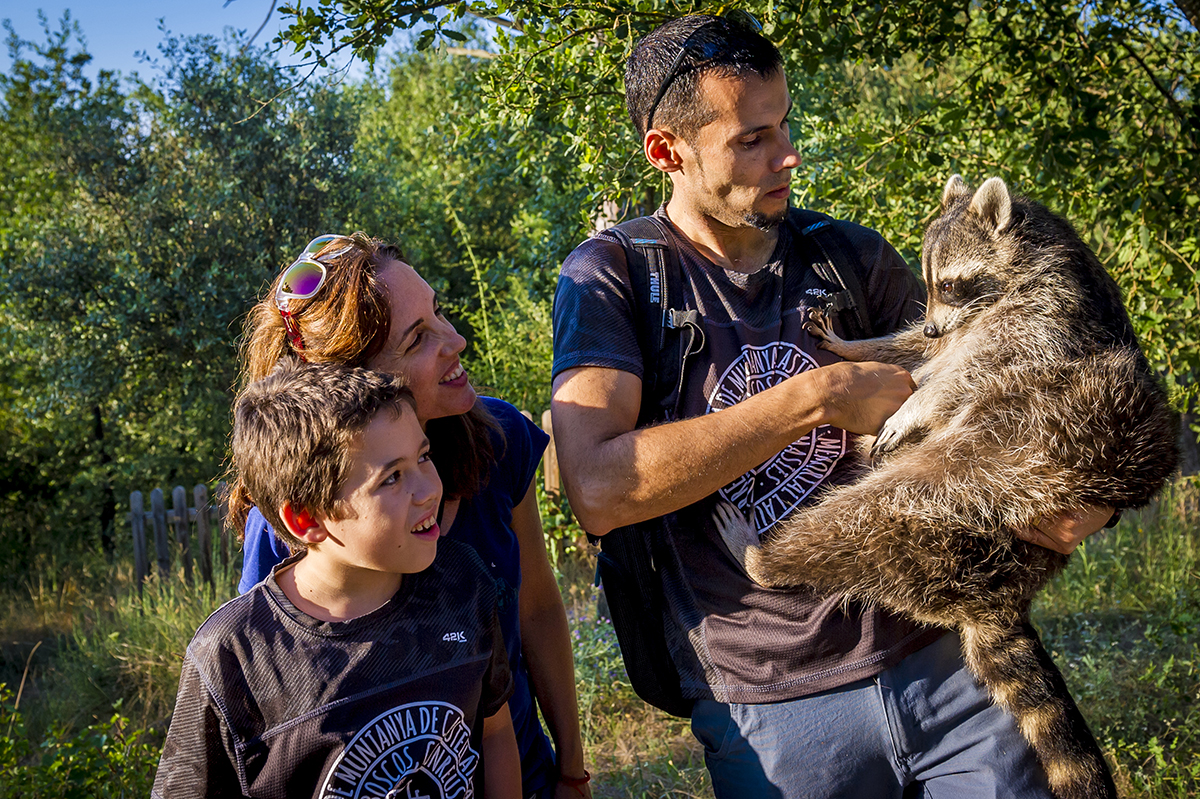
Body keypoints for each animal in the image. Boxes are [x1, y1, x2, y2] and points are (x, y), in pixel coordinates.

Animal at [715, 173, 1176, 796]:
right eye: (929, 284)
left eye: (952, 284)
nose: (935, 322)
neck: (1037, 252)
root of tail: (997, 593)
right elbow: (918, 349)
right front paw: (860, 346)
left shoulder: (1051, 320)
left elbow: (970, 371)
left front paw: (919, 398)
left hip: (983, 477)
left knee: (862, 514)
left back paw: (767, 558)